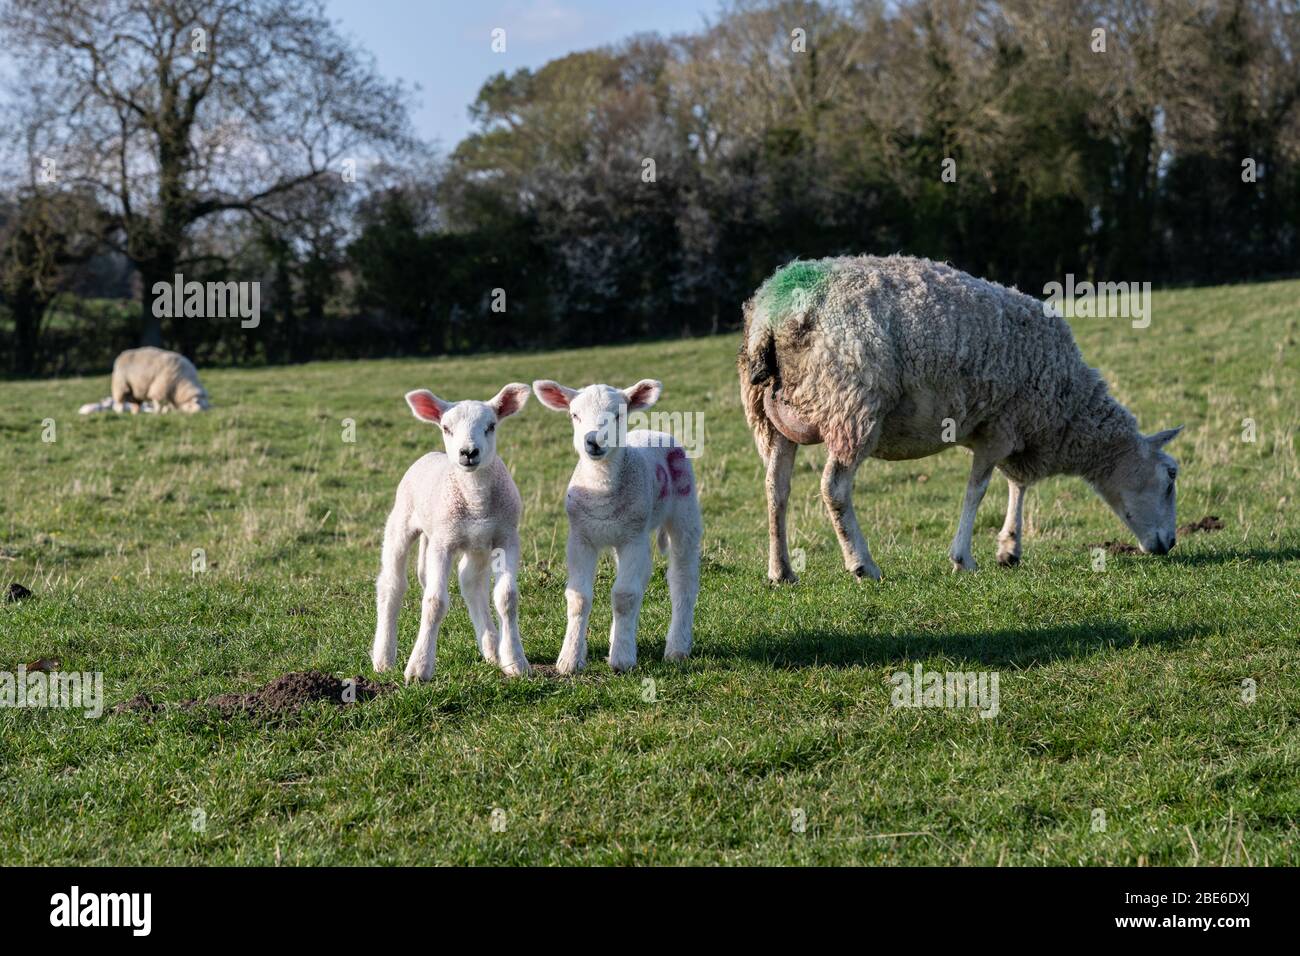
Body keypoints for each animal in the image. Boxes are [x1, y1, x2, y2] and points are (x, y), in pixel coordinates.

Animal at [79, 348, 209, 416]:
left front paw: (167, 411)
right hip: (121, 385)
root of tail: (123, 353)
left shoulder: (170, 392)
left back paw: (135, 413)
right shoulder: (160, 387)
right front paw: (158, 413)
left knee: (136, 403)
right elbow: (158, 403)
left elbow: (168, 404)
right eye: (193, 406)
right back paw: (121, 413)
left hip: (135, 391)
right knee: (120, 402)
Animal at [371, 382, 533, 681]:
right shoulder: (442, 543)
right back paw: (383, 657)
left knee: (470, 581)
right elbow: (434, 603)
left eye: (491, 426)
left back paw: (491, 648)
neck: (475, 497)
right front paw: (419, 668)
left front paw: (515, 661)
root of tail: (432, 455)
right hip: (402, 521)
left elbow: (507, 598)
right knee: (392, 584)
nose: (468, 452)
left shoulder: (506, 537)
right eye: (446, 427)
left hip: (477, 544)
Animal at [533, 377, 707, 676]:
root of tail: (655, 432)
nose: (593, 440)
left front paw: (622, 660)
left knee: (683, 579)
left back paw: (677, 647)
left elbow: (624, 595)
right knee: (643, 576)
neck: (602, 489)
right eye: (574, 415)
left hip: (684, 511)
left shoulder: (632, 538)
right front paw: (570, 659)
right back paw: (619, 636)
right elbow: (579, 598)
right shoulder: (580, 538)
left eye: (619, 414)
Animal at [738, 254, 1185, 580]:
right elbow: (979, 489)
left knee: (775, 488)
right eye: (1171, 477)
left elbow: (1016, 484)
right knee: (834, 489)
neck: (1068, 407)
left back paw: (781, 570)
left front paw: (1009, 548)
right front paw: (964, 558)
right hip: (852, 406)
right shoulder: (1001, 425)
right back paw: (862, 563)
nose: (1169, 544)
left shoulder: (1014, 426)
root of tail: (773, 316)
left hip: (770, 418)